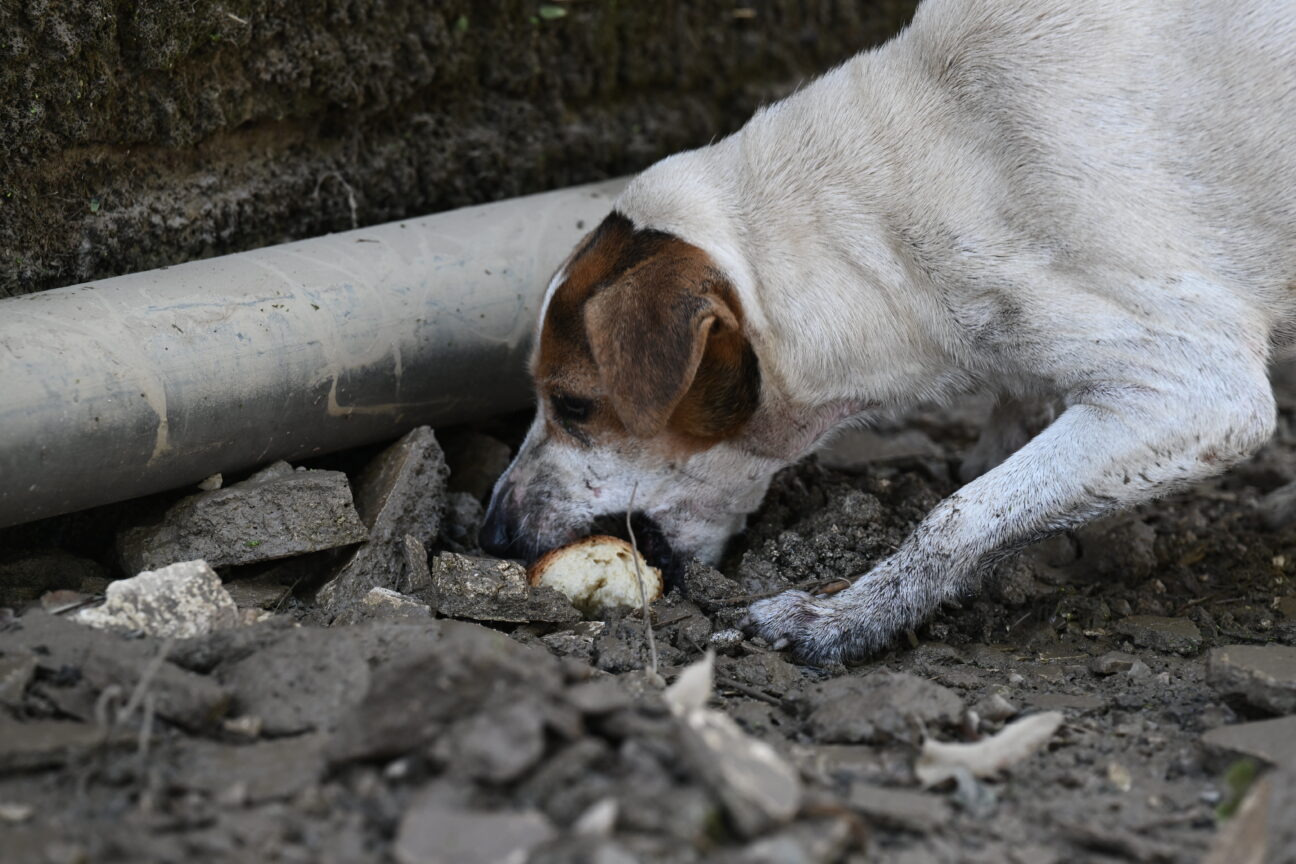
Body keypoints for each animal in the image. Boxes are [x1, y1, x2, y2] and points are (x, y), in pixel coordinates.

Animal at [484, 0, 1296, 663]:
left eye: (575, 405)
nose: (490, 533)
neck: (946, 157)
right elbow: (1004, 452)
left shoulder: (1197, 391)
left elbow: (957, 515)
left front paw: (848, 617)